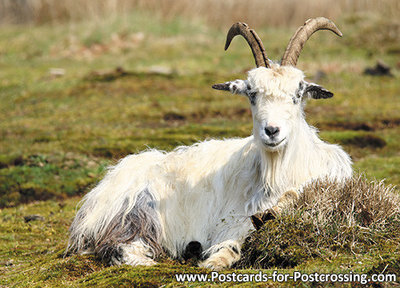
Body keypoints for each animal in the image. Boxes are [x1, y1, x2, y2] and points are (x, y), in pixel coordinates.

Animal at [69, 17, 354, 270]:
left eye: (298, 92)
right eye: (251, 93)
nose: (272, 131)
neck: (281, 172)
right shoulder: (233, 219)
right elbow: (232, 242)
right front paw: (214, 261)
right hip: (136, 210)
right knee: (118, 245)